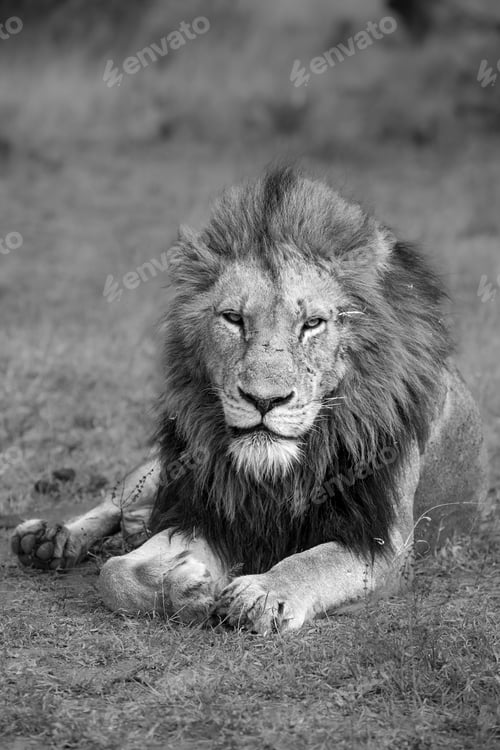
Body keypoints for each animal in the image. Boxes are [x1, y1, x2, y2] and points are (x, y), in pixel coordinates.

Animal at [11, 167, 488, 633]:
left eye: (312, 323)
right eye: (233, 319)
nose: (264, 400)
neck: (277, 475)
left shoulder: (383, 542)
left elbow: (314, 561)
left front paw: (262, 592)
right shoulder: (207, 510)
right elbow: (113, 573)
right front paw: (187, 587)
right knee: (116, 501)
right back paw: (48, 537)